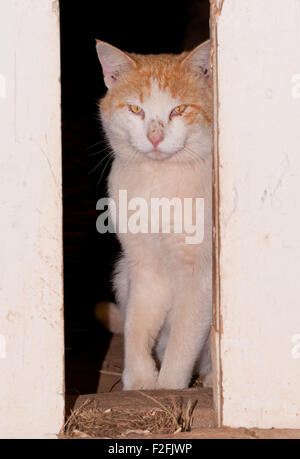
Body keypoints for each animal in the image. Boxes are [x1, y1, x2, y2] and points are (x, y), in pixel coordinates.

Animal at [95, 40, 211, 392]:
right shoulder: (142, 266)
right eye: (136, 110)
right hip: (121, 274)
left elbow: (184, 338)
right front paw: (139, 379)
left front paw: (170, 386)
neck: (157, 182)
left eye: (179, 110)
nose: (155, 137)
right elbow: (137, 324)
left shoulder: (200, 276)